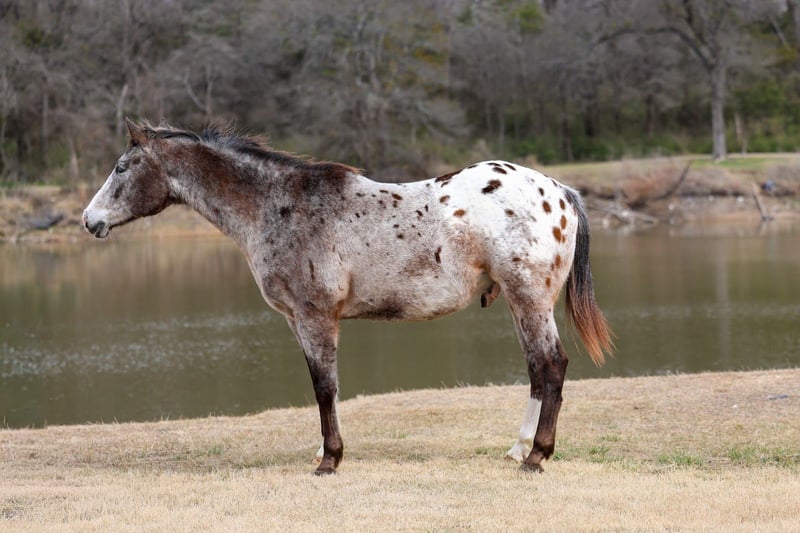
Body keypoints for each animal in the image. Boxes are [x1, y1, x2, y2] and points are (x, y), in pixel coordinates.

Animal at [83, 119, 613, 475]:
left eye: (121, 167)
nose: (90, 220)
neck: (279, 206)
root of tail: (559, 190)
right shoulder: (297, 321)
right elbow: (323, 389)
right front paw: (323, 451)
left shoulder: (315, 316)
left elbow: (324, 387)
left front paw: (330, 460)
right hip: (521, 304)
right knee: (537, 371)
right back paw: (519, 448)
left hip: (529, 299)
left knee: (551, 367)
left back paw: (537, 456)